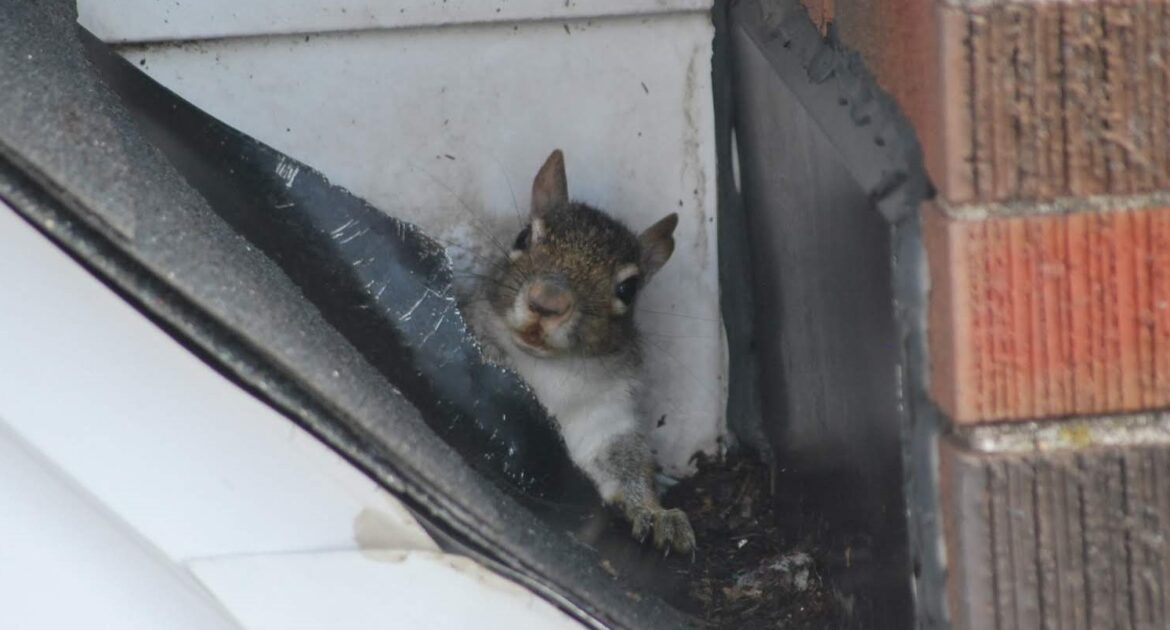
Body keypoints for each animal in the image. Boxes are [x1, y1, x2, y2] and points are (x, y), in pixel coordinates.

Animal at [459, 149, 696, 554]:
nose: (547, 301)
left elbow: (626, 465)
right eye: (523, 236)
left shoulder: (606, 418)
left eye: (629, 289)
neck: (548, 370)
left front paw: (655, 512)